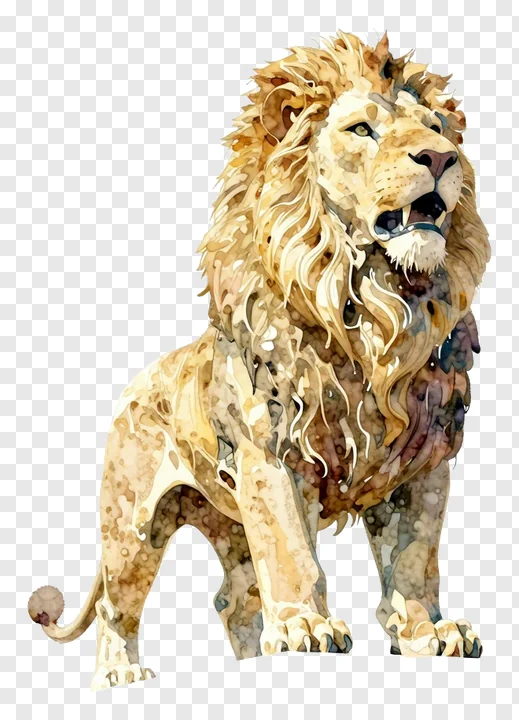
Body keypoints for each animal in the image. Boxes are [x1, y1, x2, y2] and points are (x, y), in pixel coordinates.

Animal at [29, 31, 490, 689]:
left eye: (434, 129)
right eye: (362, 130)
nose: (440, 158)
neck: (375, 313)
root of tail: (137, 382)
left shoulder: (424, 459)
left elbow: (414, 558)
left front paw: (428, 634)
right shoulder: (271, 454)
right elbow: (293, 554)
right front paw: (306, 630)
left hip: (229, 522)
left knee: (235, 598)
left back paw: (249, 663)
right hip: (132, 527)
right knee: (121, 606)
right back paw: (122, 676)